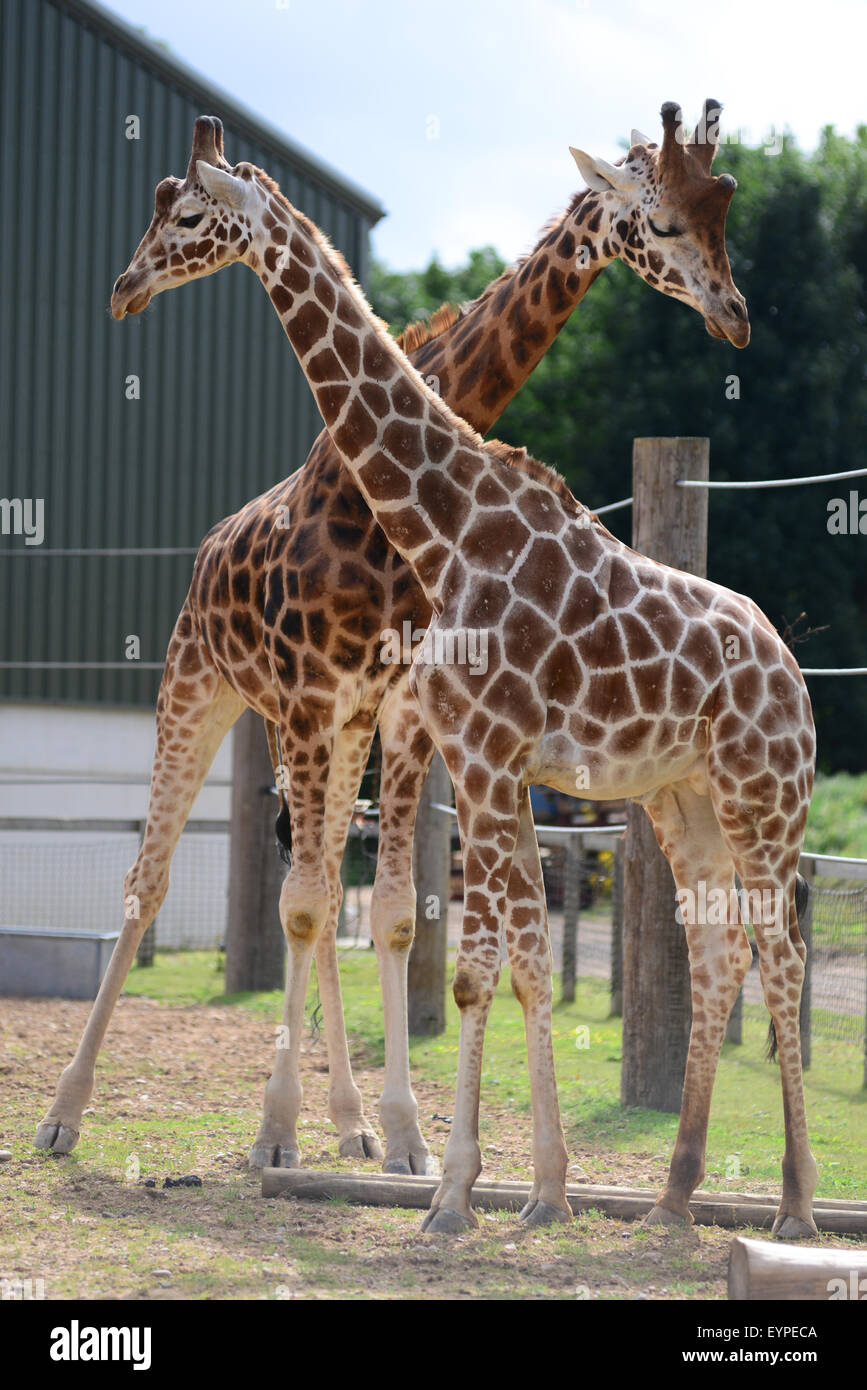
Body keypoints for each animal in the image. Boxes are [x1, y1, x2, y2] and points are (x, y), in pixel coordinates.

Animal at [35, 111, 800, 1228]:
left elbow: (450, 940)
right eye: (663, 221)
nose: (124, 288)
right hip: (224, 697)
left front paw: (450, 1172)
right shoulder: (421, 734)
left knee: (773, 959)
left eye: (183, 214)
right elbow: (446, 941)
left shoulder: (448, 738)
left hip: (733, 793)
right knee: (173, 881)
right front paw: (474, 1175)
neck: (425, 520)